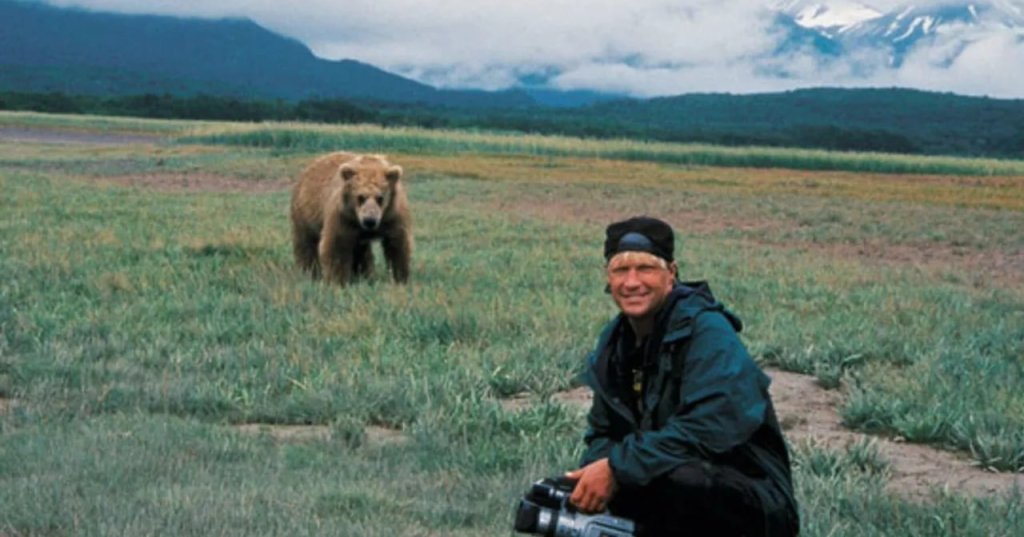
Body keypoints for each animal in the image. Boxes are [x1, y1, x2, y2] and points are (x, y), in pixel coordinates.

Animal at [290, 151, 412, 285]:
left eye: (380, 198)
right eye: (360, 197)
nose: (370, 220)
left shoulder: (393, 216)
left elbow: (397, 245)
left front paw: (400, 278)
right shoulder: (343, 216)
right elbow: (336, 246)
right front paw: (338, 281)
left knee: (361, 252)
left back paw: (363, 275)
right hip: (306, 213)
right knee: (306, 243)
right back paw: (309, 271)